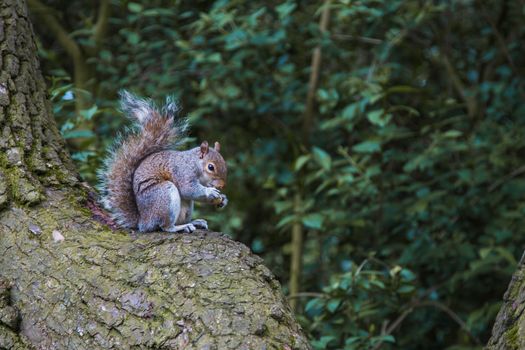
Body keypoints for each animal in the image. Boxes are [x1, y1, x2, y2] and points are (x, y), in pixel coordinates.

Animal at [99, 89, 226, 232]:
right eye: (211, 167)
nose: (222, 185)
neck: (195, 163)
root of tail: (143, 222)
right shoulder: (183, 171)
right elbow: (188, 189)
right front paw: (210, 191)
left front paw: (223, 199)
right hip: (164, 195)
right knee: (165, 226)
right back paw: (180, 227)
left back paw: (196, 222)